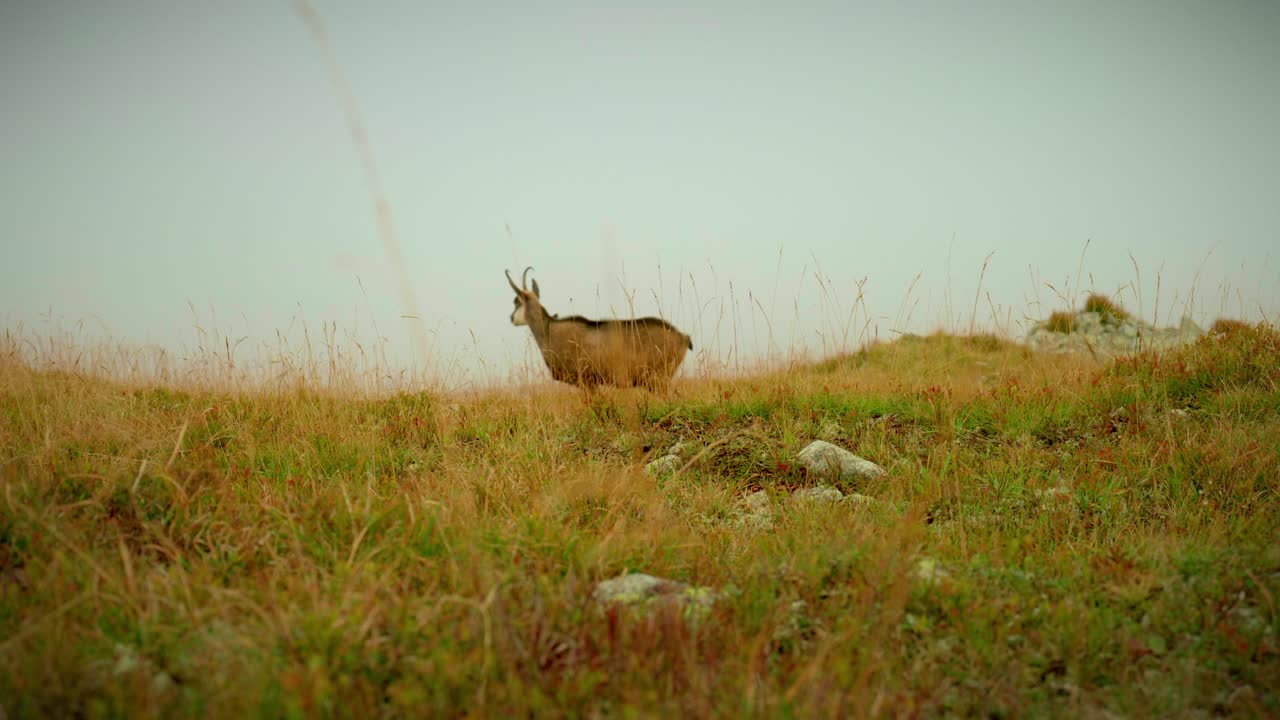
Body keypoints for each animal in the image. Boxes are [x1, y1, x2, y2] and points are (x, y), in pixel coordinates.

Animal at [506, 267, 693, 390]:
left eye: (516, 301)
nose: (511, 318)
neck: (548, 329)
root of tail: (683, 337)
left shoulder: (586, 381)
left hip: (658, 379)